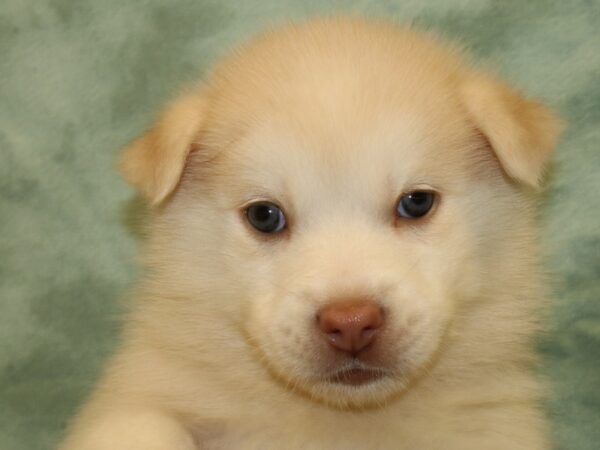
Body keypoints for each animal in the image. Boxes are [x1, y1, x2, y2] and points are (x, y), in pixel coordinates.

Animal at [58, 15, 560, 448]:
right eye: (264, 216)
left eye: (416, 203)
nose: (352, 322)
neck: (344, 417)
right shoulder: (142, 390)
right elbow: (142, 425)